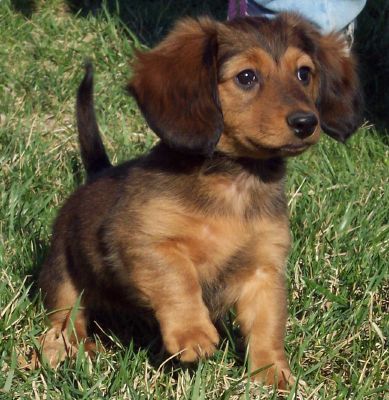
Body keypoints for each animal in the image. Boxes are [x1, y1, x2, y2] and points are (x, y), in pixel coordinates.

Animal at [37, 13, 360, 390]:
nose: (307, 122)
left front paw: (273, 376)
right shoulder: (145, 241)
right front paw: (192, 333)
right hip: (63, 275)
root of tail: (98, 173)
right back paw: (73, 349)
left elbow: (267, 327)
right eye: (246, 77)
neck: (235, 184)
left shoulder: (263, 270)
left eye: (304, 73)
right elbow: (179, 279)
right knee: (66, 317)